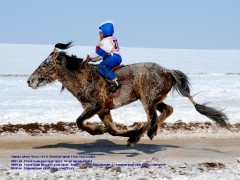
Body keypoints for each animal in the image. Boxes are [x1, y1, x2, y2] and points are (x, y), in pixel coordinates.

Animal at [26, 42, 229, 146]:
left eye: (44, 64)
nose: (29, 81)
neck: (83, 77)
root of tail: (168, 71)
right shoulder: (103, 110)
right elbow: (112, 130)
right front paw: (122, 131)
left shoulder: (96, 106)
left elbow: (79, 122)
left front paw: (99, 130)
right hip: (155, 99)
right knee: (167, 110)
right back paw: (138, 135)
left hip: (147, 98)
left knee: (152, 117)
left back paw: (141, 135)